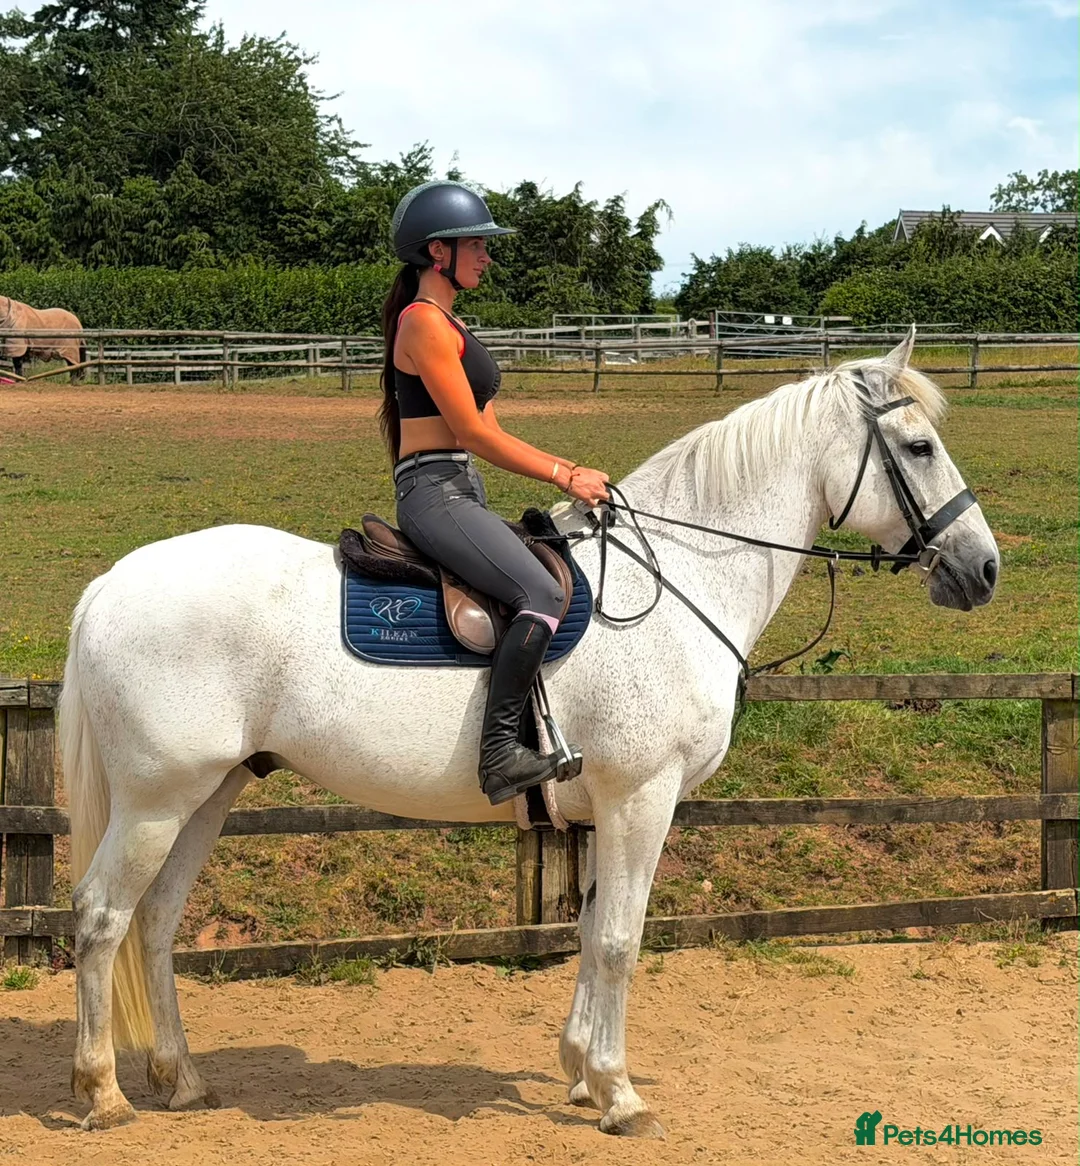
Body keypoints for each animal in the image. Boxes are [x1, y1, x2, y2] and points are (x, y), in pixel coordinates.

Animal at [59, 330, 999, 1135]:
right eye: (918, 447)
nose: (983, 568)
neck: (681, 580)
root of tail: (111, 584)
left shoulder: (604, 810)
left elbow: (588, 930)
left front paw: (581, 1072)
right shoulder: (641, 799)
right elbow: (620, 939)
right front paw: (620, 1094)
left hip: (207, 793)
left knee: (156, 921)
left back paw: (181, 1078)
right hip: (155, 802)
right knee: (103, 917)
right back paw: (103, 1091)